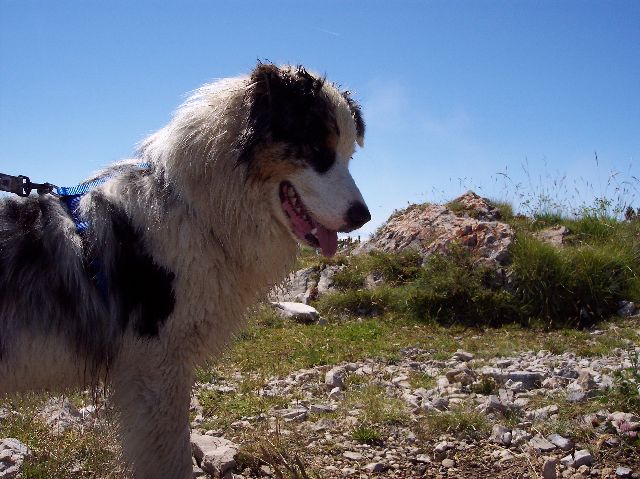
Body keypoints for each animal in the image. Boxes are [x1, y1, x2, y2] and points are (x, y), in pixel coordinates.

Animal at [0, 64, 370, 479]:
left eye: (348, 156)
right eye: (319, 150)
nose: (364, 216)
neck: (194, 210)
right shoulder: (156, 365)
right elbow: (171, 456)